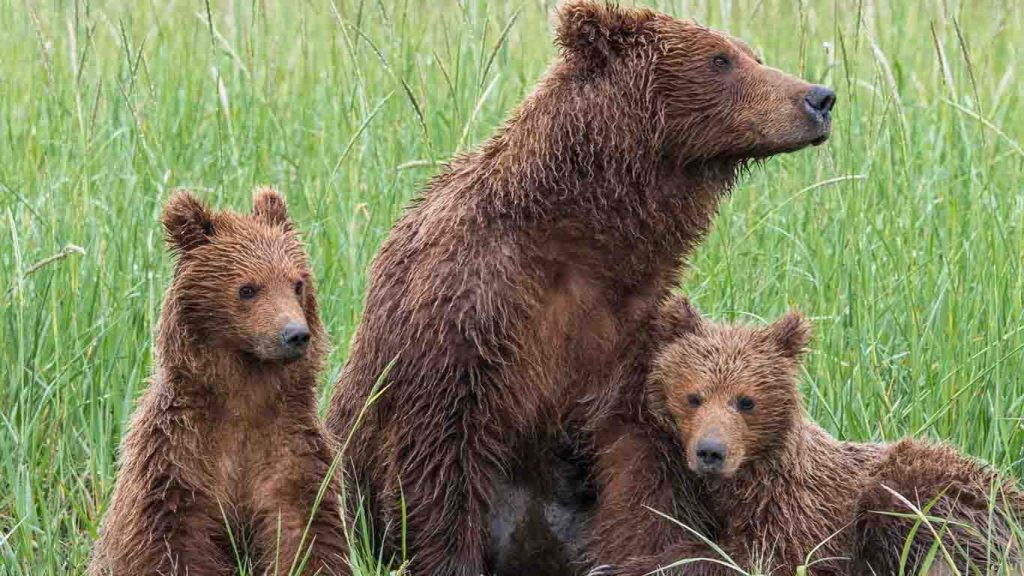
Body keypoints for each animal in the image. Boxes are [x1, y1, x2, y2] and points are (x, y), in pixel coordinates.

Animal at [88, 189, 348, 576]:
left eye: (297, 283)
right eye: (247, 288)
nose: (295, 335)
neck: (244, 392)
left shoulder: (289, 450)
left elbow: (306, 530)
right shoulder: (177, 458)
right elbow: (171, 542)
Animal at [325, 1, 835, 574]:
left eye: (754, 54)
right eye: (720, 59)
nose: (819, 97)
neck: (581, 237)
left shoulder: (626, 330)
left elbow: (638, 467)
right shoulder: (467, 310)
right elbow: (439, 456)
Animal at [587, 295, 1023, 575]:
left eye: (746, 401)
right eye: (694, 397)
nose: (711, 451)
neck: (746, 480)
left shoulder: (802, 510)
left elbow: (764, 557)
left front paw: (621, 566)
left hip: (937, 491)